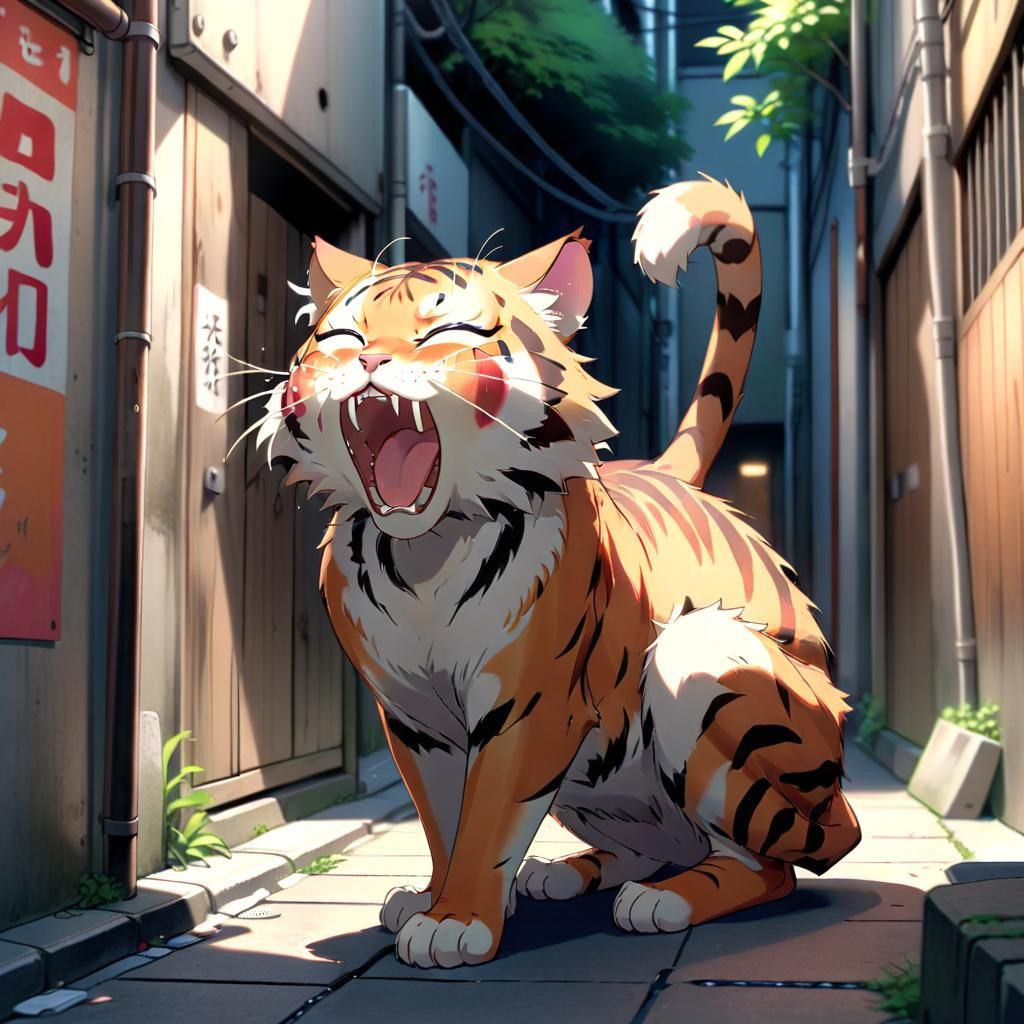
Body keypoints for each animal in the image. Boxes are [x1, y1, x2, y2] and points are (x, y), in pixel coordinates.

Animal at [256, 175, 861, 969]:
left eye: (443, 335)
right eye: (343, 340)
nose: (369, 364)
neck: (424, 555)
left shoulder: (527, 704)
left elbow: (486, 818)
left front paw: (457, 923)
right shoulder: (413, 717)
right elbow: (441, 817)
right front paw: (431, 899)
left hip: (704, 663)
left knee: (781, 860)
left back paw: (665, 899)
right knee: (660, 840)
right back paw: (564, 874)